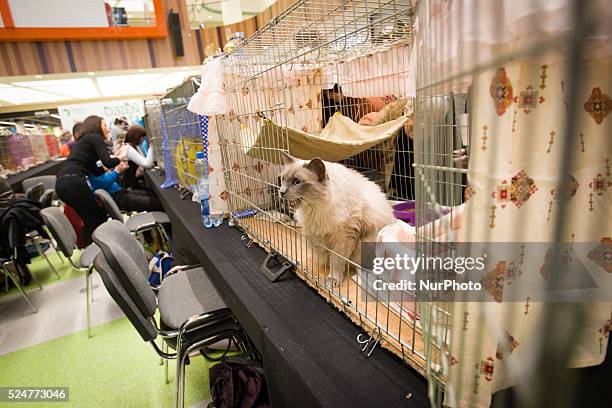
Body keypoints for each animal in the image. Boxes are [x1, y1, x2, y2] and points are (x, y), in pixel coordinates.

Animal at [280, 154, 394, 286]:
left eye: (297, 181)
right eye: (283, 179)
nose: (281, 192)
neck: (314, 208)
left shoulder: (343, 238)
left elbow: (336, 261)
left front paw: (333, 280)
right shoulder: (314, 233)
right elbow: (321, 251)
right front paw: (323, 264)